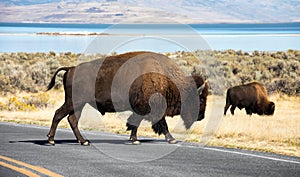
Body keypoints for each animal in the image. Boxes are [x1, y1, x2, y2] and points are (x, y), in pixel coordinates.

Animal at [46, 51, 209, 145]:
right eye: (201, 99)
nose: (201, 116)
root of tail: (71, 68)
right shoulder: (151, 108)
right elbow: (161, 124)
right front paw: (171, 139)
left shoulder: (142, 108)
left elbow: (136, 123)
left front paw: (133, 139)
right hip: (73, 102)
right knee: (59, 114)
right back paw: (51, 140)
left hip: (78, 104)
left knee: (72, 119)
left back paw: (83, 141)